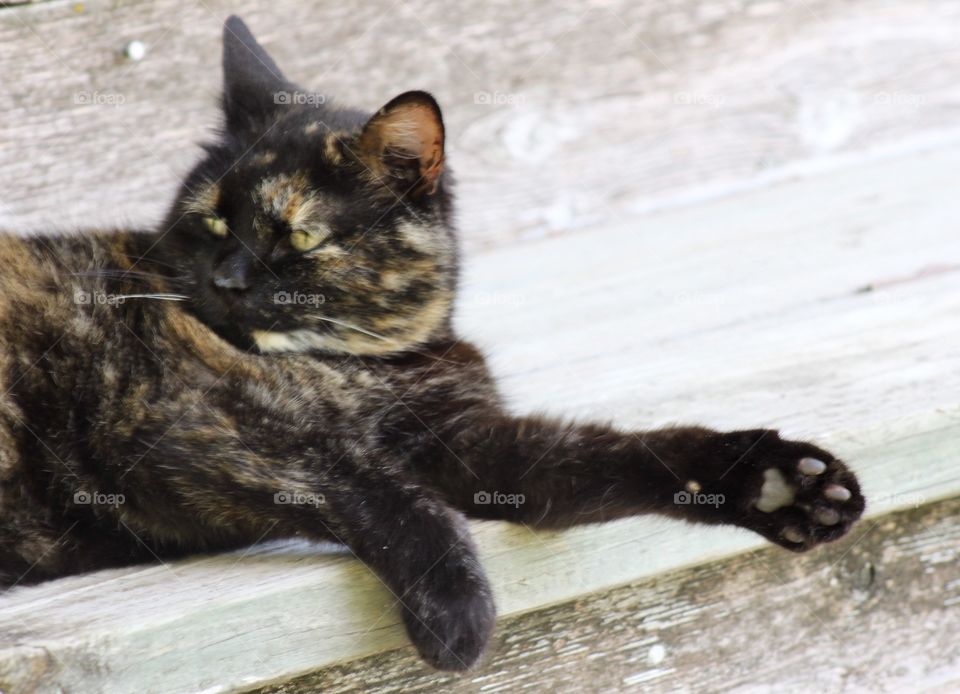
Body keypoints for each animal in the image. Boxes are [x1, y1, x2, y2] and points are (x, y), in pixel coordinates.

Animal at [0, 14, 868, 668]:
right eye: (212, 220)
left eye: (298, 236)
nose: (228, 278)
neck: (364, 363)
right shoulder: (176, 427)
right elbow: (373, 489)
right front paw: (458, 612)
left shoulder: (469, 439)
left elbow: (614, 456)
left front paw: (777, 483)